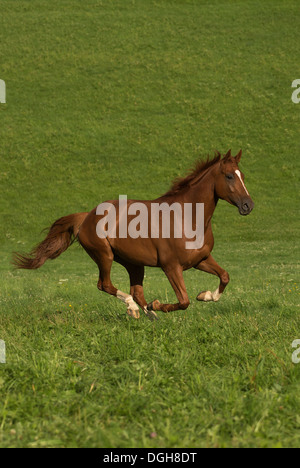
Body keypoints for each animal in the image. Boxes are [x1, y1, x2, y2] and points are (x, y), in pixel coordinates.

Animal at [13, 152, 253, 320]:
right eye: (229, 176)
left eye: (242, 175)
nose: (248, 205)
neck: (186, 218)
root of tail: (86, 216)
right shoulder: (171, 266)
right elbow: (184, 301)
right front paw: (158, 305)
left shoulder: (201, 260)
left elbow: (225, 276)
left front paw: (205, 295)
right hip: (105, 256)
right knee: (105, 285)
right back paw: (135, 309)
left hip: (134, 263)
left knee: (135, 291)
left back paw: (148, 314)